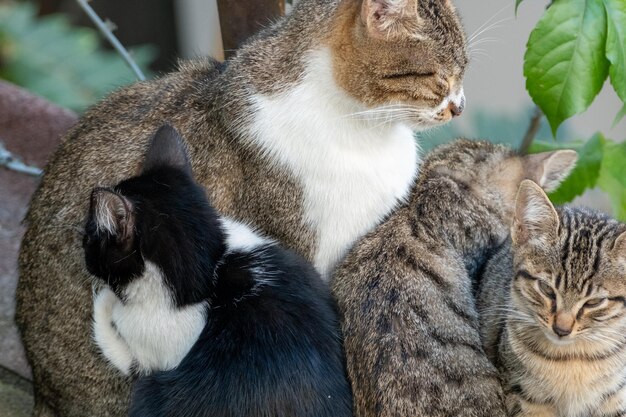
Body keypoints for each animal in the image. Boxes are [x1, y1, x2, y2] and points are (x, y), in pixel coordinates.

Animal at [85, 125, 354, 416]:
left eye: (88, 237)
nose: (85, 254)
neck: (207, 273)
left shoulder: (154, 351)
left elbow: (121, 350)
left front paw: (107, 303)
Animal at [472, 181, 624, 416]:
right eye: (546, 288)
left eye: (594, 302)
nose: (561, 329)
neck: (573, 359)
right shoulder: (523, 396)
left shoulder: (616, 399)